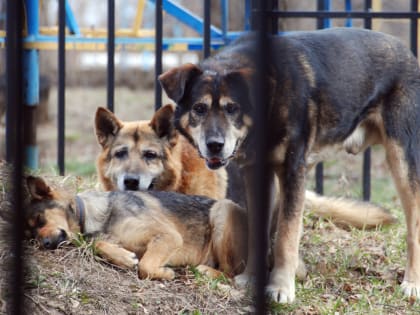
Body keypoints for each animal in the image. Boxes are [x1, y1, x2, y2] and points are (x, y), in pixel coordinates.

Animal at [24, 177, 248, 280]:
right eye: (31, 237)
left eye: (40, 219)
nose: (44, 244)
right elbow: (100, 245)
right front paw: (123, 258)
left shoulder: (169, 236)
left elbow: (145, 266)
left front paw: (165, 273)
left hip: (223, 209)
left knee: (231, 273)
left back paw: (206, 271)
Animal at [158, 27, 420, 304]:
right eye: (199, 108)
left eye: (233, 108)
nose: (215, 145)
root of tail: (405, 50)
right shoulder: (257, 173)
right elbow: (258, 233)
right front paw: (251, 278)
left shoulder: (293, 170)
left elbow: (285, 235)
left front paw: (281, 288)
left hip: (402, 160)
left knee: (413, 226)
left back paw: (411, 283)